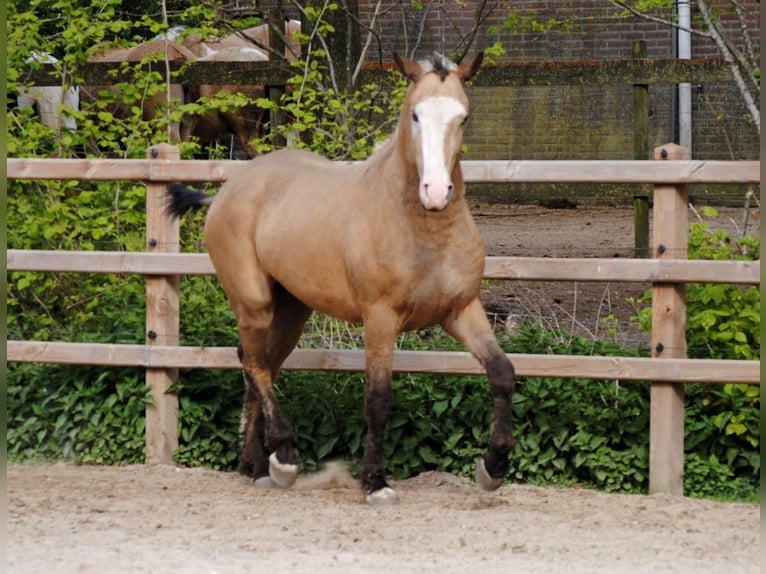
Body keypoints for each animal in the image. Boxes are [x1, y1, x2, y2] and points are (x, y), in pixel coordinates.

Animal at [166, 51, 516, 506]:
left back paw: (256, 467)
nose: (436, 192)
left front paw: (493, 468)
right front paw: (376, 483)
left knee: (259, 364)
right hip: (252, 301)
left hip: (291, 309)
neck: (424, 230)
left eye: (463, 117)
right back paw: (283, 459)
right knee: (256, 365)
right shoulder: (381, 318)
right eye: (415, 114)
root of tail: (226, 190)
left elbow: (502, 373)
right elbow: (378, 399)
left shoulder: (460, 311)